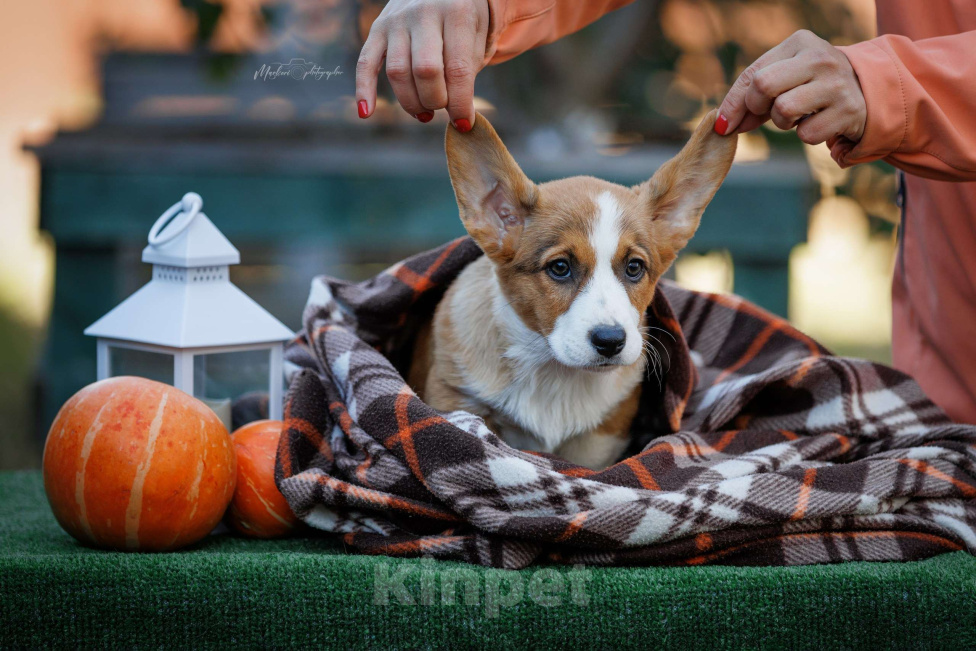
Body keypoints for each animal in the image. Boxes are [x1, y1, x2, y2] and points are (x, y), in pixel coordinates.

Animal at [408, 111, 736, 468]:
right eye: (560, 268)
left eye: (634, 267)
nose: (611, 341)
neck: (555, 373)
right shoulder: (456, 401)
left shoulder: (598, 444)